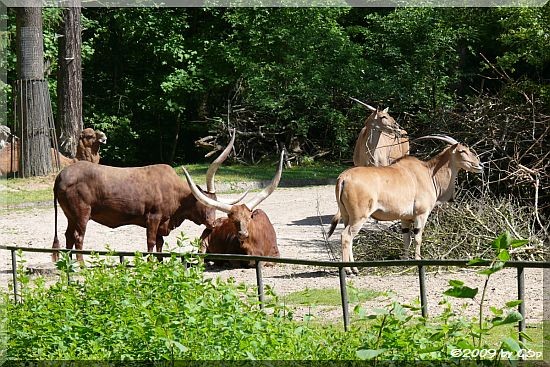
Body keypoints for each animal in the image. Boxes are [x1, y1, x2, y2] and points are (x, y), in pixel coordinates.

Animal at [52, 131, 244, 264]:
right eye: (205, 204)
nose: (212, 223)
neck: (175, 192)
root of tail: (61, 176)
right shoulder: (153, 217)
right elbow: (151, 241)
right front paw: (150, 262)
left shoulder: (163, 221)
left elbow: (160, 242)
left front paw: (160, 262)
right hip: (82, 213)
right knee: (78, 237)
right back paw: (81, 265)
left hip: (70, 215)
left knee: (68, 235)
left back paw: (68, 262)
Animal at [330, 136, 486, 276]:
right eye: (462, 151)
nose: (480, 166)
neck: (429, 173)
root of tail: (343, 177)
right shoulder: (421, 215)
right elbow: (417, 238)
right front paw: (417, 260)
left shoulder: (404, 218)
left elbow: (406, 238)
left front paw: (405, 261)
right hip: (359, 217)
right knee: (346, 236)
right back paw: (348, 270)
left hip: (347, 217)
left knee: (349, 237)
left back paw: (355, 269)